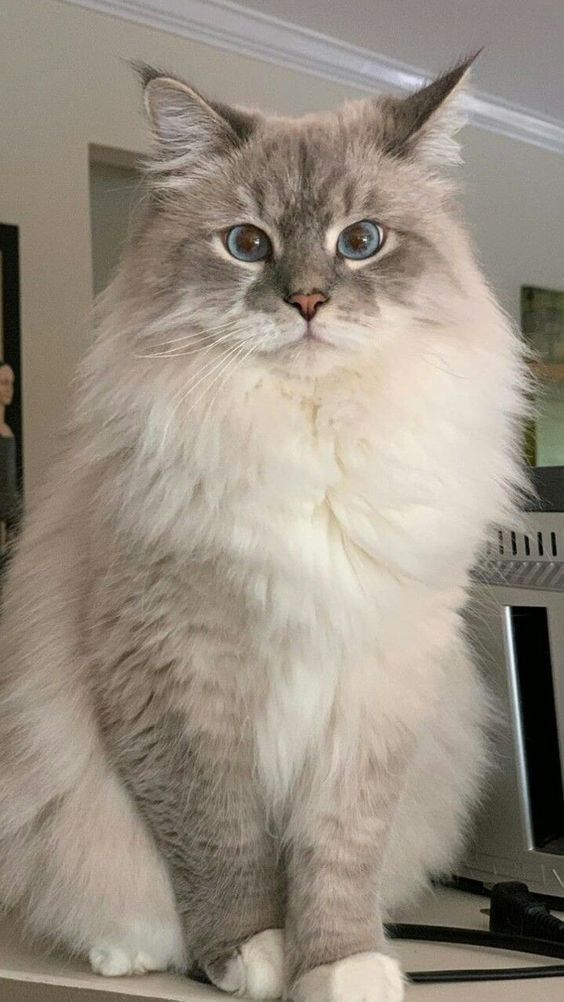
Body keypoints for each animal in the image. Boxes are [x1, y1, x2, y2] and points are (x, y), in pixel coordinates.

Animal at [0, 56, 528, 1002]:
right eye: (247, 245)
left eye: (363, 241)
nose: (309, 301)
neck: (307, 444)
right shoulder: (182, 680)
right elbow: (219, 841)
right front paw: (249, 956)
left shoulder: (375, 687)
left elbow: (337, 857)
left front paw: (341, 968)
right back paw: (132, 952)